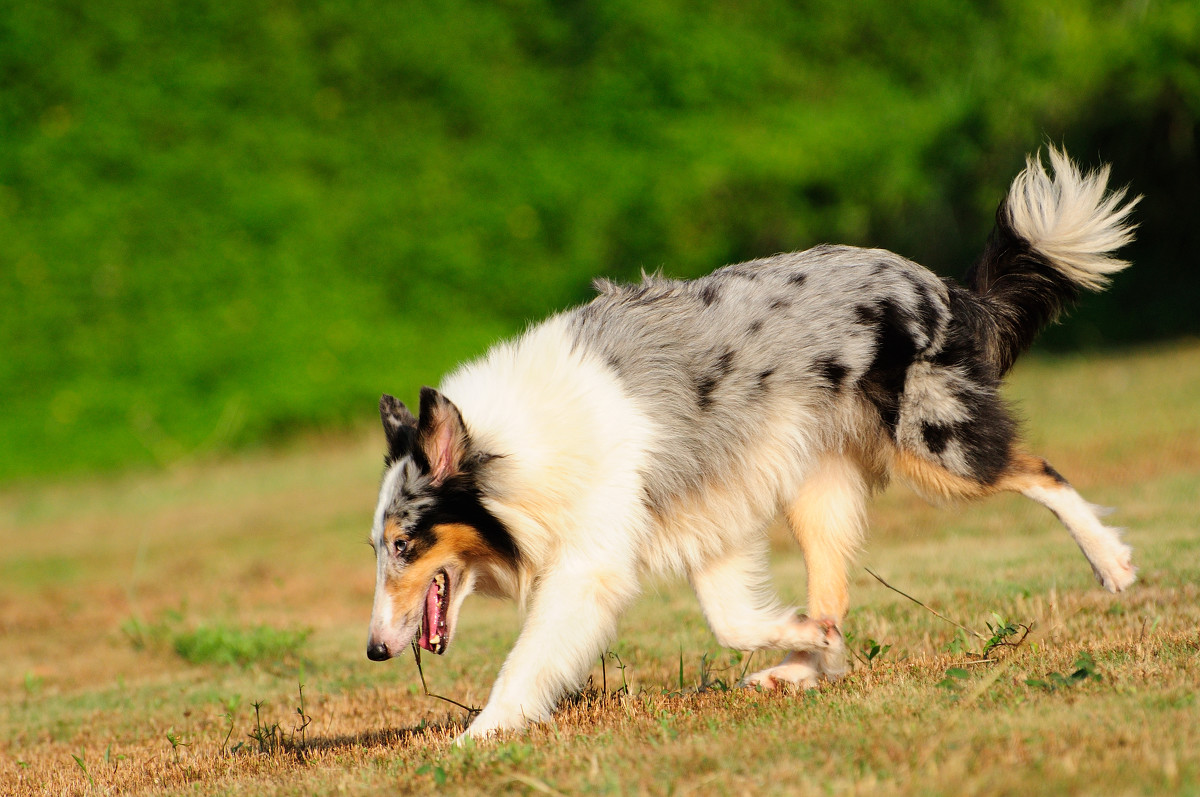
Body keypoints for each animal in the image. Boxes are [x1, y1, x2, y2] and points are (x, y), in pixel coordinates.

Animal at [362, 149, 1132, 739]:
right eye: (379, 547)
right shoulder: (710, 517)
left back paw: (1113, 563)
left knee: (1039, 471)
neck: (512, 449)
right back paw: (799, 669)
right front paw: (808, 638)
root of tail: (934, 284)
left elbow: (528, 660)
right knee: (833, 588)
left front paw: (480, 735)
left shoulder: (591, 564)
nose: (372, 650)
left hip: (935, 445)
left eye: (403, 544)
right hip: (818, 488)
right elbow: (735, 620)